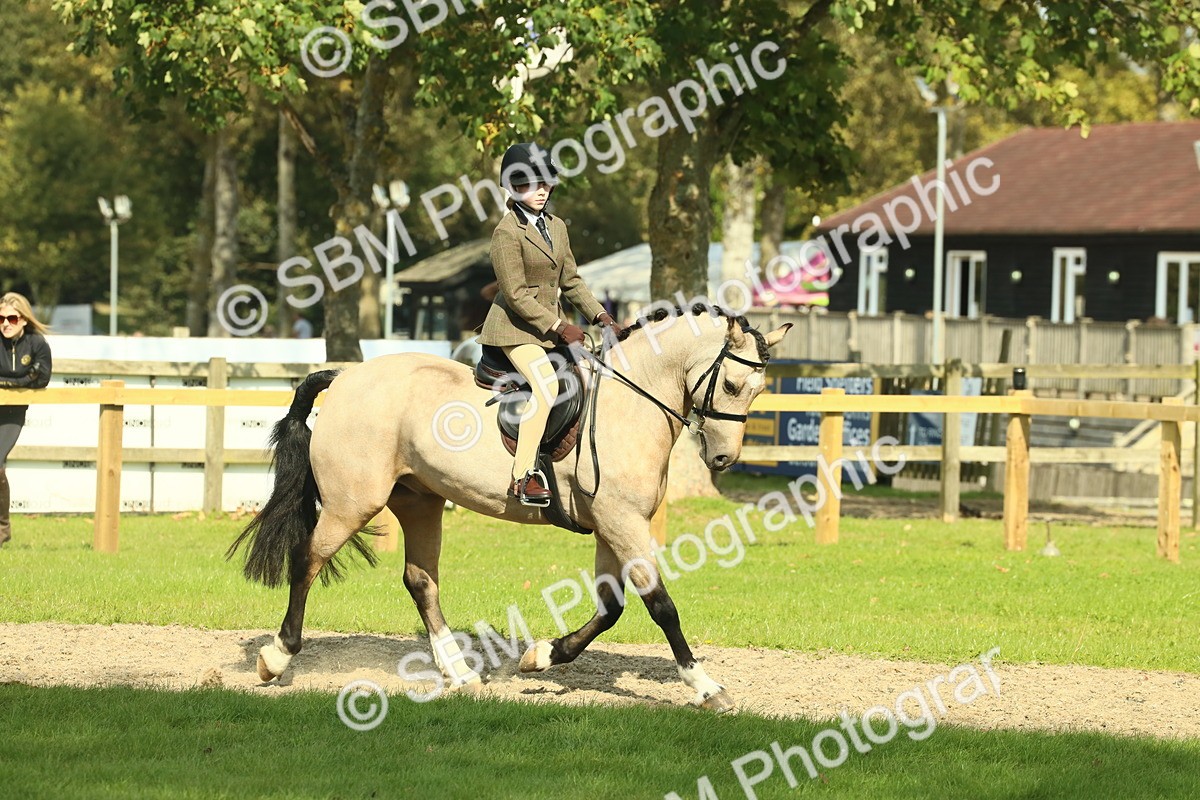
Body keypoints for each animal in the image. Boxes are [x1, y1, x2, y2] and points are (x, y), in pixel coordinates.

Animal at [228, 303, 791, 710]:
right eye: (732, 385)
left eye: (760, 390)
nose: (722, 459)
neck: (629, 404)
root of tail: (346, 378)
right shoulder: (622, 522)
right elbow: (661, 606)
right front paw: (705, 687)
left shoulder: (613, 525)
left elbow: (610, 608)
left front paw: (542, 656)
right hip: (352, 503)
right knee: (307, 559)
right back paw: (277, 657)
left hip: (420, 500)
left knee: (420, 581)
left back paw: (459, 674)